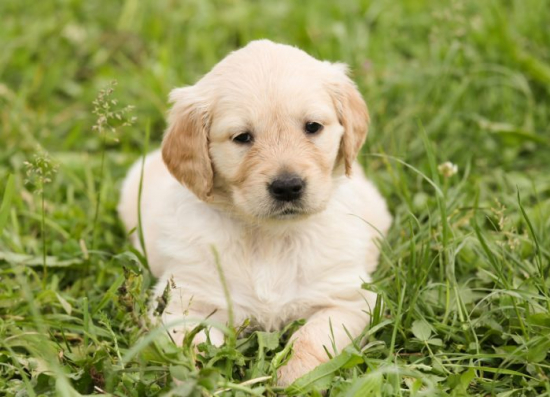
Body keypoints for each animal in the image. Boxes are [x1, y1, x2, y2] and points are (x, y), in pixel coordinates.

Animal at [119, 38, 394, 386]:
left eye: (312, 127)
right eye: (242, 137)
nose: (288, 186)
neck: (270, 239)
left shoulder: (350, 299)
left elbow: (313, 337)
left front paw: (296, 377)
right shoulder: (183, 303)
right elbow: (193, 348)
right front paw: (204, 381)